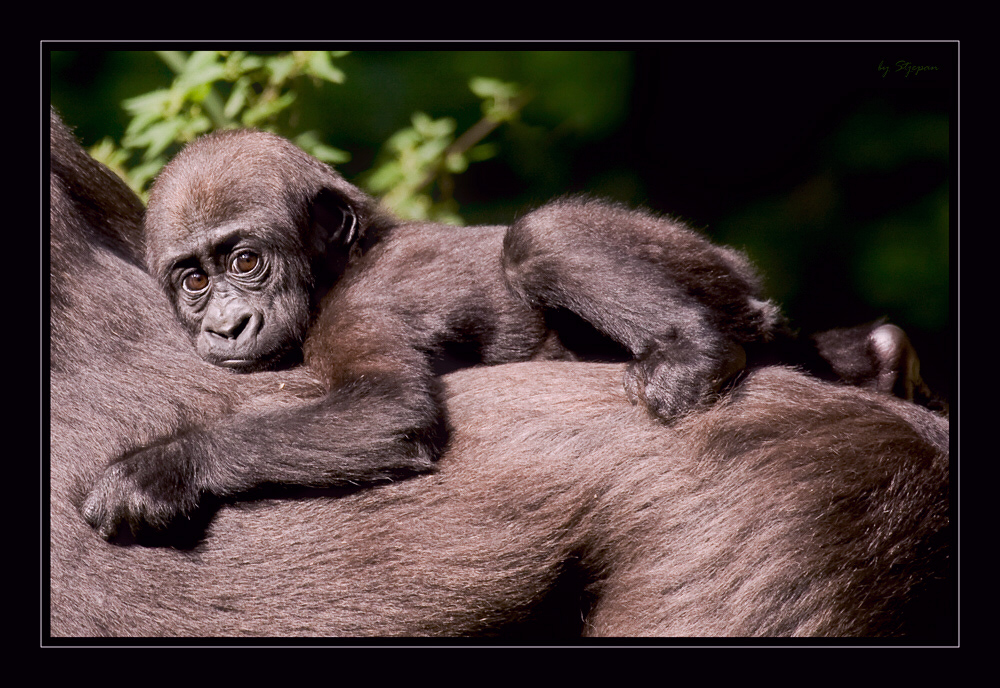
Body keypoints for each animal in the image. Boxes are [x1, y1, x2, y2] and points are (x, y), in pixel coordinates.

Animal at [47, 109, 952, 640]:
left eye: (245, 261)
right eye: (193, 280)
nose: (226, 326)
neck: (346, 260)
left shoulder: (359, 308)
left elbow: (387, 411)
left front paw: (159, 472)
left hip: (712, 284)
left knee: (542, 239)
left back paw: (697, 355)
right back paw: (878, 356)